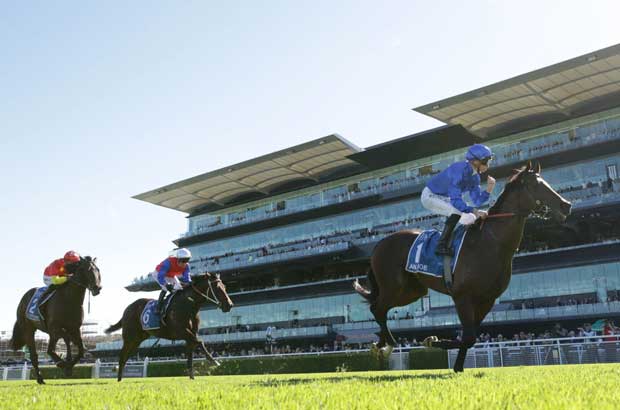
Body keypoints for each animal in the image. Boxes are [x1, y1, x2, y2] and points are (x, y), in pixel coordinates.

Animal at [10, 256, 101, 384]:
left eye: (97, 269)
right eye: (86, 269)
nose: (97, 287)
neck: (69, 299)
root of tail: (23, 298)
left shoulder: (75, 328)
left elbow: (81, 349)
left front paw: (69, 365)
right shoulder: (55, 328)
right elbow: (62, 343)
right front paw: (65, 365)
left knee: (57, 346)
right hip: (29, 329)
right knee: (36, 354)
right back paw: (41, 377)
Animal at [105, 272, 234, 382]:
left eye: (224, 286)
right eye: (217, 287)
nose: (229, 305)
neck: (188, 304)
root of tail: (127, 309)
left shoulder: (190, 335)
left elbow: (191, 354)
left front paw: (192, 376)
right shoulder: (182, 332)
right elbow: (200, 342)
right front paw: (214, 361)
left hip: (138, 339)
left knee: (127, 356)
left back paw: (120, 377)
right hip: (129, 337)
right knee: (122, 355)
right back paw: (118, 378)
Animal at [354, 163, 572, 372]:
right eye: (536, 185)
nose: (566, 205)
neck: (492, 243)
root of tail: (378, 245)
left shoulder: (487, 299)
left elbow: (469, 336)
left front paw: (453, 362)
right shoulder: (462, 295)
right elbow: (468, 336)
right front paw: (435, 342)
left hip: (411, 291)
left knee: (379, 308)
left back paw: (379, 345)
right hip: (394, 286)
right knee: (377, 308)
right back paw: (388, 344)